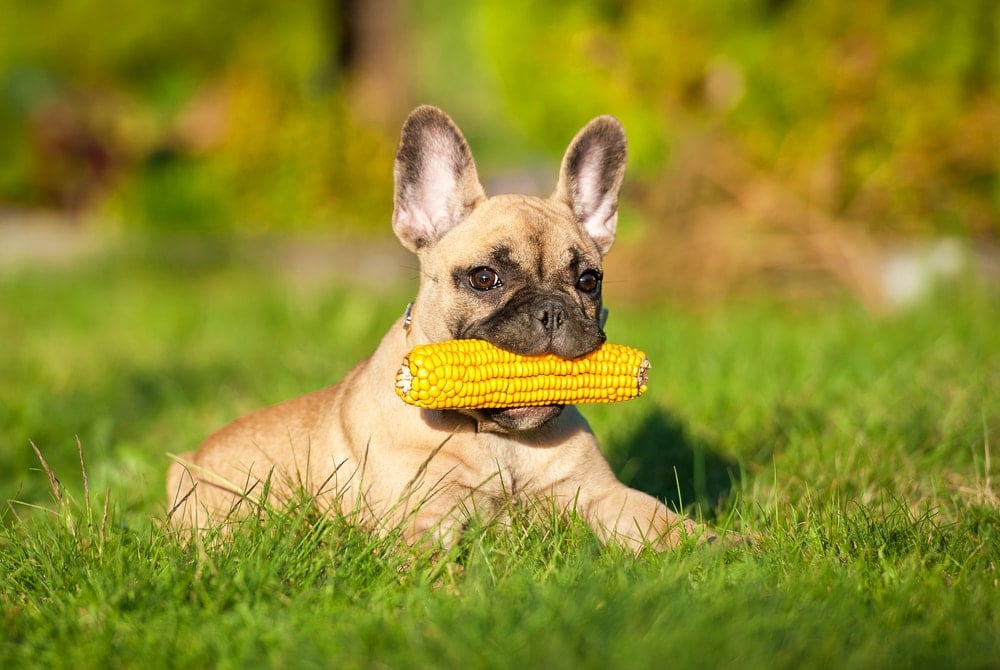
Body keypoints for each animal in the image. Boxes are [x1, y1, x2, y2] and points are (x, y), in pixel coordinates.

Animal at [166, 107, 712, 552]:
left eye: (588, 281)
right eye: (484, 278)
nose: (553, 311)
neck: (498, 441)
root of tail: (189, 457)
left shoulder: (602, 495)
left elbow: (662, 521)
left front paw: (718, 546)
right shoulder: (426, 514)